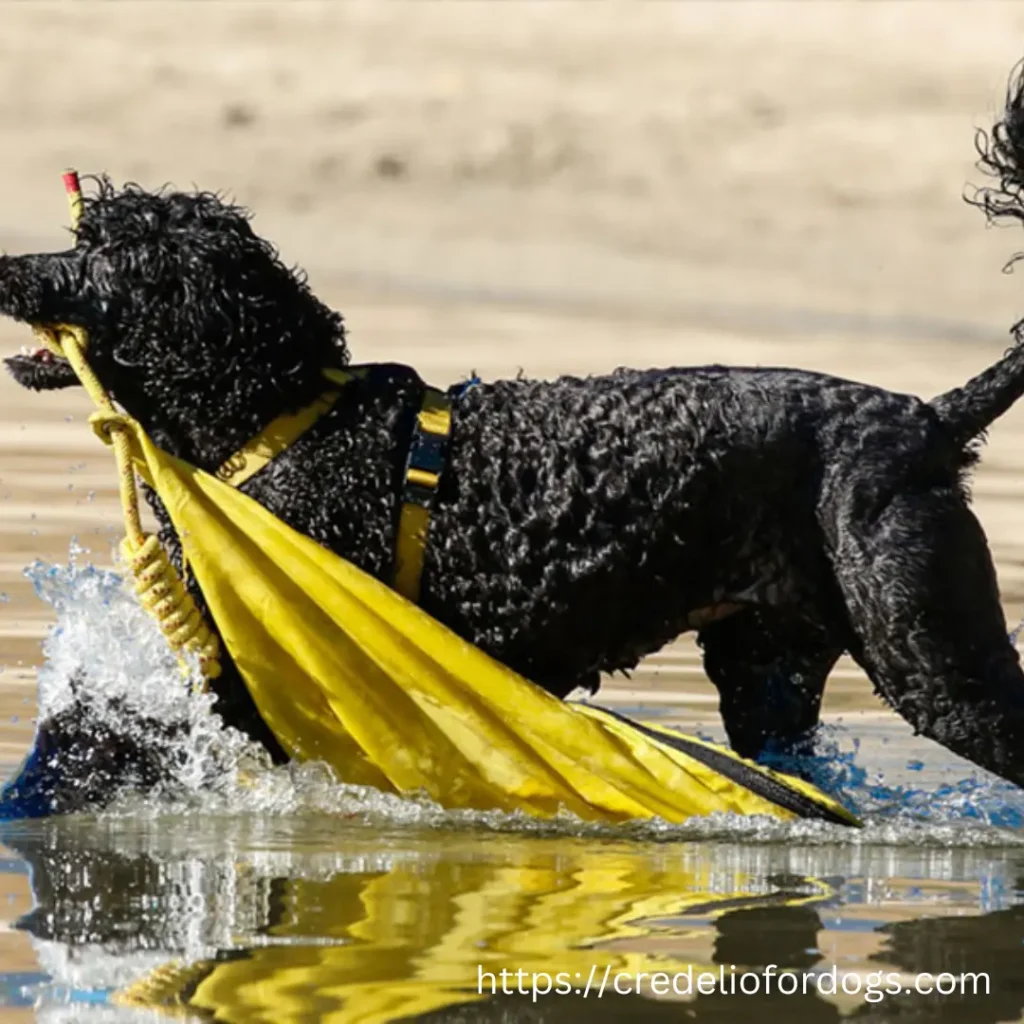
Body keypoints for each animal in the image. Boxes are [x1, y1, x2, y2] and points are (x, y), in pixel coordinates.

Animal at [9, 72, 1024, 811]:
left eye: (106, 254)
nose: (6, 267)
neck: (283, 413)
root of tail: (925, 417)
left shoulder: (257, 679)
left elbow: (101, 730)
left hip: (935, 660)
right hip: (769, 672)